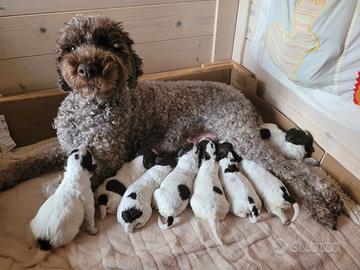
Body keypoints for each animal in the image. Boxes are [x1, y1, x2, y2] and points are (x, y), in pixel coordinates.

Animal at [0, 14, 346, 229]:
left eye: (110, 45)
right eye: (70, 46)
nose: (88, 68)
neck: (91, 107)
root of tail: (240, 93)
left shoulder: (107, 158)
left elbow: (72, 179)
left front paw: (56, 192)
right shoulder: (67, 146)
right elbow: (30, 160)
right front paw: (7, 174)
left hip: (242, 137)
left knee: (292, 169)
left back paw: (323, 205)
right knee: (303, 168)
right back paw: (333, 196)